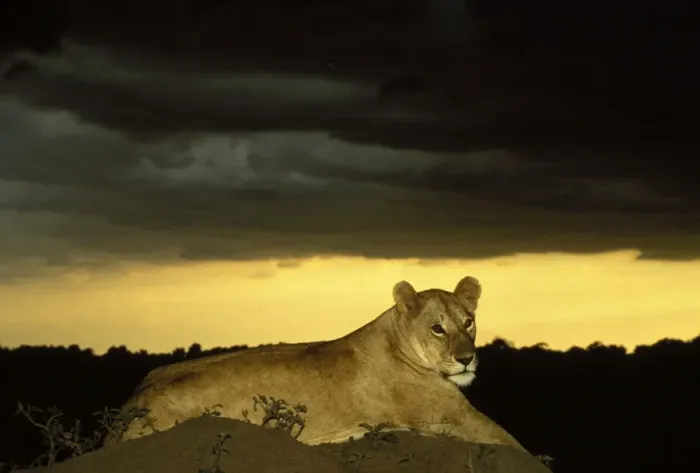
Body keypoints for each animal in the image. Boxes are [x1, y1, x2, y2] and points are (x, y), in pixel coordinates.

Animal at [104, 276, 526, 452]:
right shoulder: (456, 417)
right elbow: (515, 446)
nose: (466, 358)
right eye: (438, 328)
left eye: (468, 322)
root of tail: (128, 407)